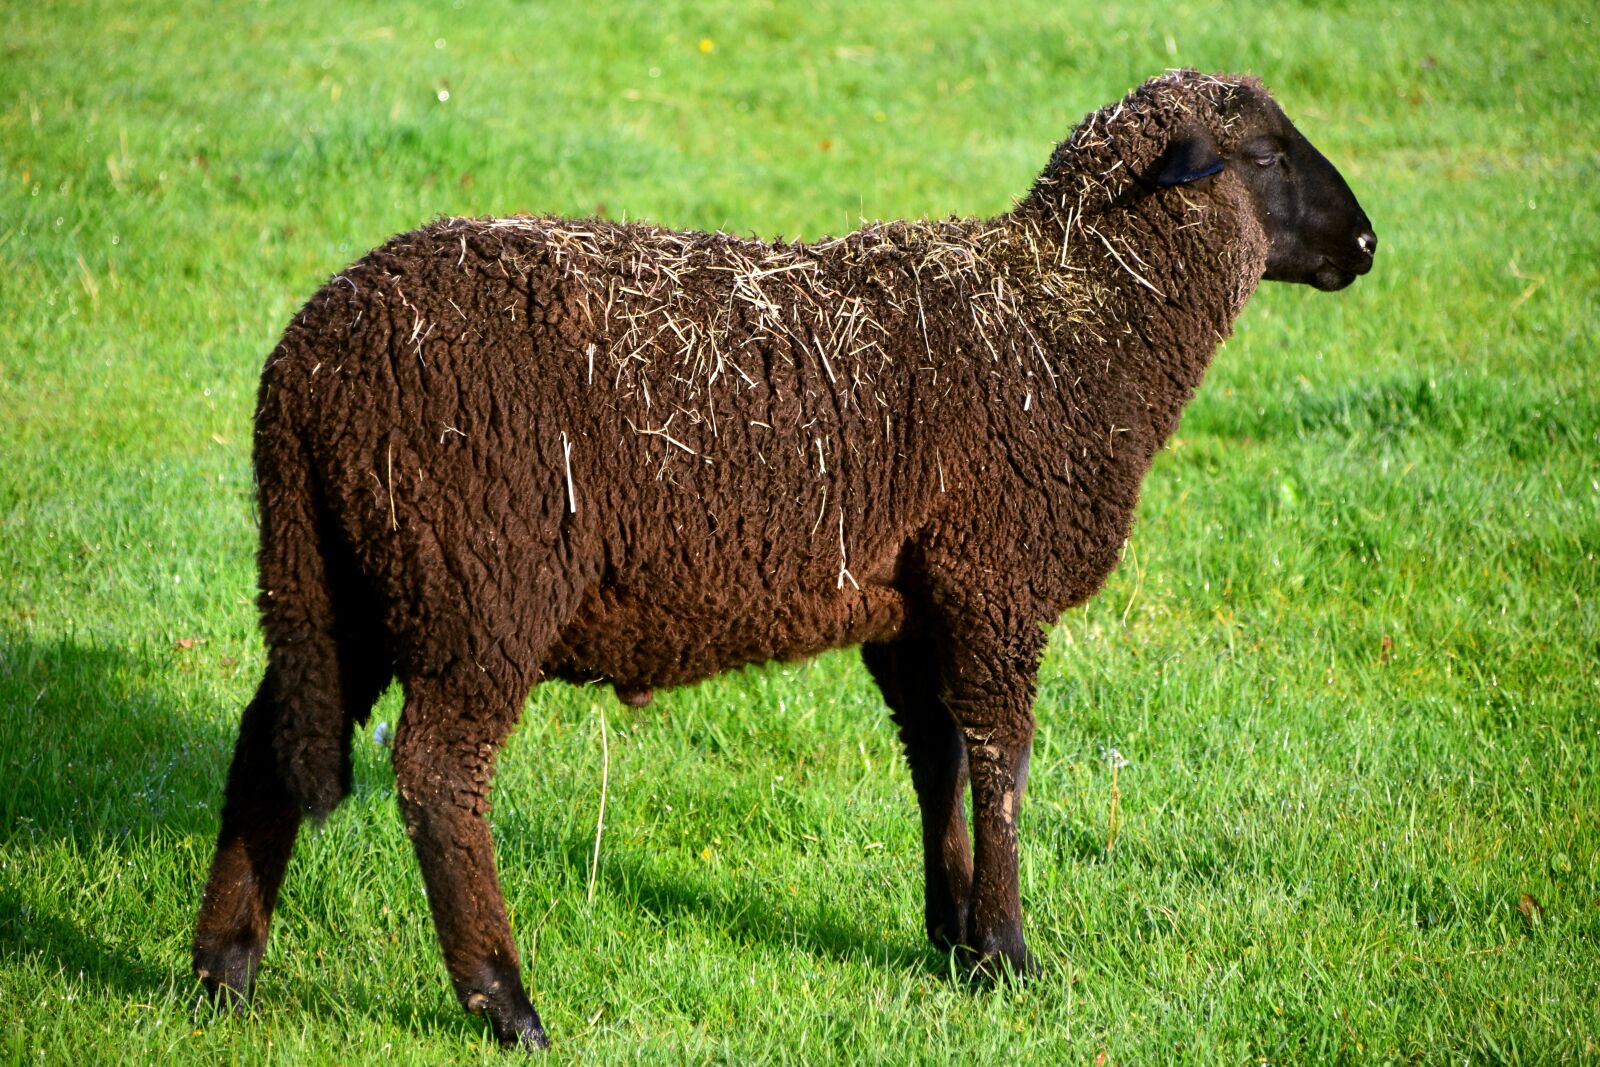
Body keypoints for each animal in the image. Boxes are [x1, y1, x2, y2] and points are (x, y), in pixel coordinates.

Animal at [192, 69, 1376, 1049]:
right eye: (1266, 156)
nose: (1366, 247)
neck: (1073, 324)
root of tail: (302, 367)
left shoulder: (915, 604)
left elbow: (940, 758)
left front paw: (949, 936)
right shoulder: (994, 579)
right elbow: (1005, 764)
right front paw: (1008, 952)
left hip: (342, 577)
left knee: (270, 741)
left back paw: (223, 974)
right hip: (478, 586)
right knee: (439, 777)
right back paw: (506, 1001)